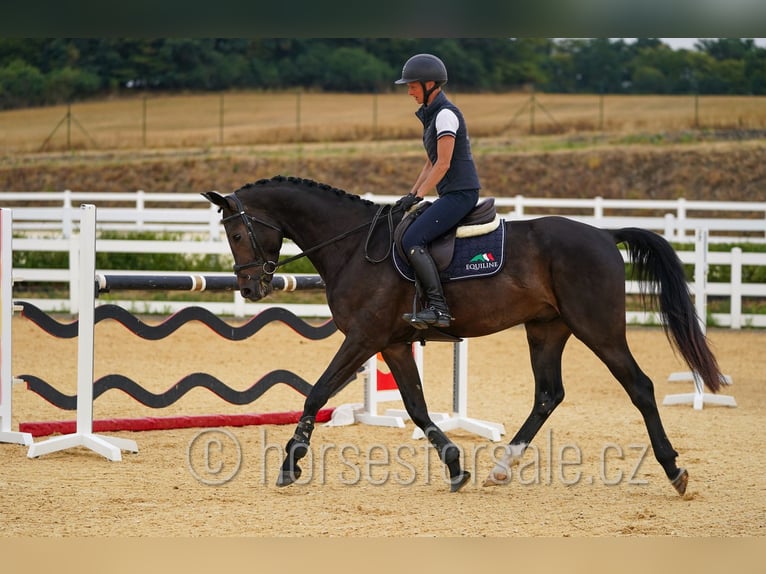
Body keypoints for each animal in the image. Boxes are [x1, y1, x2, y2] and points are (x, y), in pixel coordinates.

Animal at [202, 175, 723, 495]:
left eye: (237, 234)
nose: (249, 288)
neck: (352, 245)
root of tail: (603, 234)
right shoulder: (392, 343)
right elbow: (415, 406)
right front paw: (455, 465)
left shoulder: (363, 338)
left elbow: (316, 392)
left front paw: (290, 464)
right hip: (547, 330)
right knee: (548, 394)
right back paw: (501, 466)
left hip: (598, 328)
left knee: (639, 386)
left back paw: (674, 469)